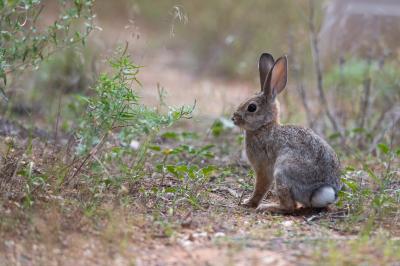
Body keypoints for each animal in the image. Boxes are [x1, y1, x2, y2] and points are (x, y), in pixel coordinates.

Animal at [233, 53, 342, 213]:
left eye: (251, 107)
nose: (233, 118)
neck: (265, 126)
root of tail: (320, 191)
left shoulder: (264, 169)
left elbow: (261, 187)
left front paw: (249, 202)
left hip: (282, 172)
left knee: (289, 207)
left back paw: (268, 207)